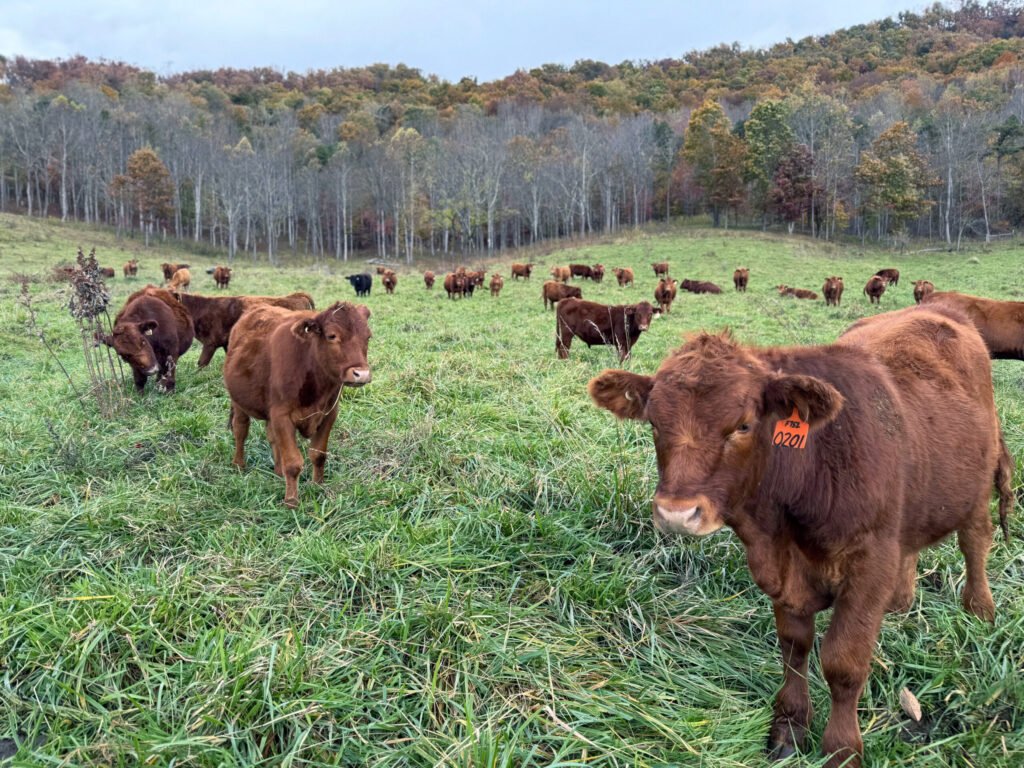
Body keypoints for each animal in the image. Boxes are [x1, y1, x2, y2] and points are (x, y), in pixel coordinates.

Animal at [224, 302, 372, 508]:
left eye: (368, 336)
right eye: (332, 336)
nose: (361, 374)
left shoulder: (329, 413)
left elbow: (318, 454)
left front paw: (317, 486)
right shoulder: (282, 415)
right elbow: (293, 463)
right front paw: (291, 502)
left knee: (272, 436)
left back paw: (278, 471)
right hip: (238, 402)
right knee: (240, 430)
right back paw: (238, 464)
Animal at [588, 304, 1012, 768]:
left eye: (743, 425)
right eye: (653, 423)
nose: (677, 513)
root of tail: (939, 307)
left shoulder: (869, 565)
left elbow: (844, 663)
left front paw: (842, 748)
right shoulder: (785, 573)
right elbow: (794, 647)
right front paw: (790, 727)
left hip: (975, 489)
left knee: (975, 542)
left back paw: (979, 611)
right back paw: (900, 603)